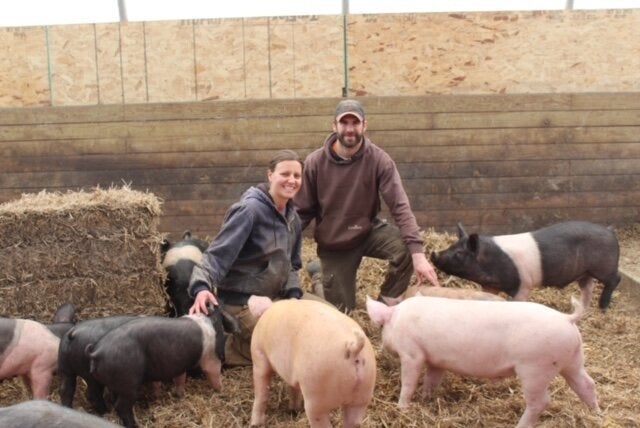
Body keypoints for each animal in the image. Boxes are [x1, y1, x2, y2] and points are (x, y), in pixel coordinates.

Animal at [248, 298, 376, 428]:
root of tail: (353, 347)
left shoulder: (259, 354)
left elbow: (261, 393)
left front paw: (255, 423)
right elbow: (294, 389)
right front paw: (293, 410)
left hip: (317, 396)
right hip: (363, 394)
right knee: (353, 421)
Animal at [364, 296, 600, 426]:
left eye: (381, 326)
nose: (382, 348)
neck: (397, 318)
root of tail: (566, 318)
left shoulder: (412, 354)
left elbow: (409, 382)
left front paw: (402, 407)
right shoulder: (437, 361)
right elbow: (432, 380)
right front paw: (427, 399)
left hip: (535, 368)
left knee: (541, 401)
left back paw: (520, 426)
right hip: (573, 360)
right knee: (587, 384)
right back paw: (597, 414)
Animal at [430, 222, 620, 310]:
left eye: (459, 254)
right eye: (451, 246)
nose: (433, 254)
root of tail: (610, 230)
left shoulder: (522, 285)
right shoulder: (490, 285)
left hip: (605, 266)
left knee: (616, 279)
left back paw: (603, 307)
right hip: (584, 272)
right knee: (587, 286)